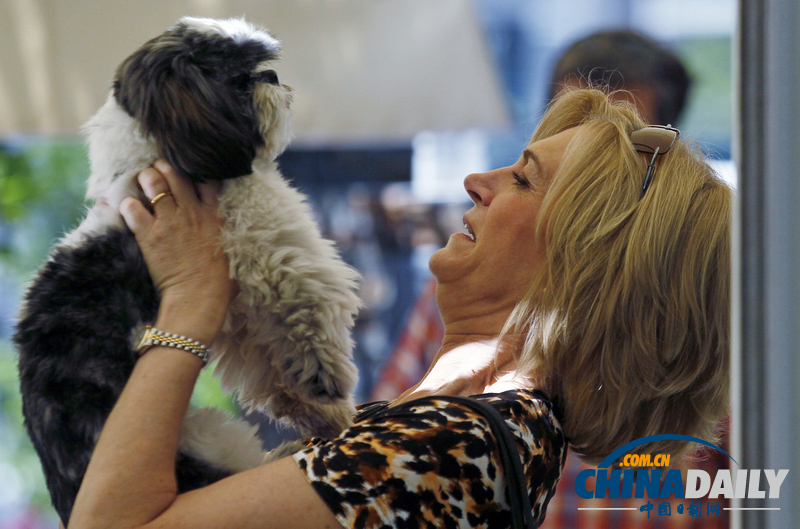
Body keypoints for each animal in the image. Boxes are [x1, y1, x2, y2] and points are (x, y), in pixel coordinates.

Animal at [12, 16, 360, 524]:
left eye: (262, 67)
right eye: (239, 79)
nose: (272, 78)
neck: (159, 157)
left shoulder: (234, 303)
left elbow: (268, 359)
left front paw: (320, 411)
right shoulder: (265, 238)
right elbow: (300, 311)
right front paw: (325, 380)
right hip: (208, 437)